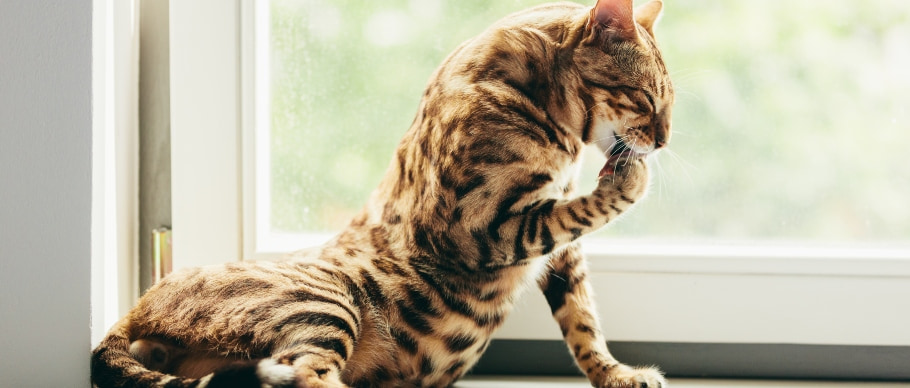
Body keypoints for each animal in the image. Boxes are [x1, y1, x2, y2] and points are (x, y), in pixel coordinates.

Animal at [92, 0, 676, 384]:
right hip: (326, 303)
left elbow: (582, 321)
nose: (665, 141)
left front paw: (616, 374)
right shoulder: (479, 231)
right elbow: (575, 215)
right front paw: (630, 178)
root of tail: (137, 307)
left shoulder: (562, 257)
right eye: (648, 100)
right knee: (303, 374)